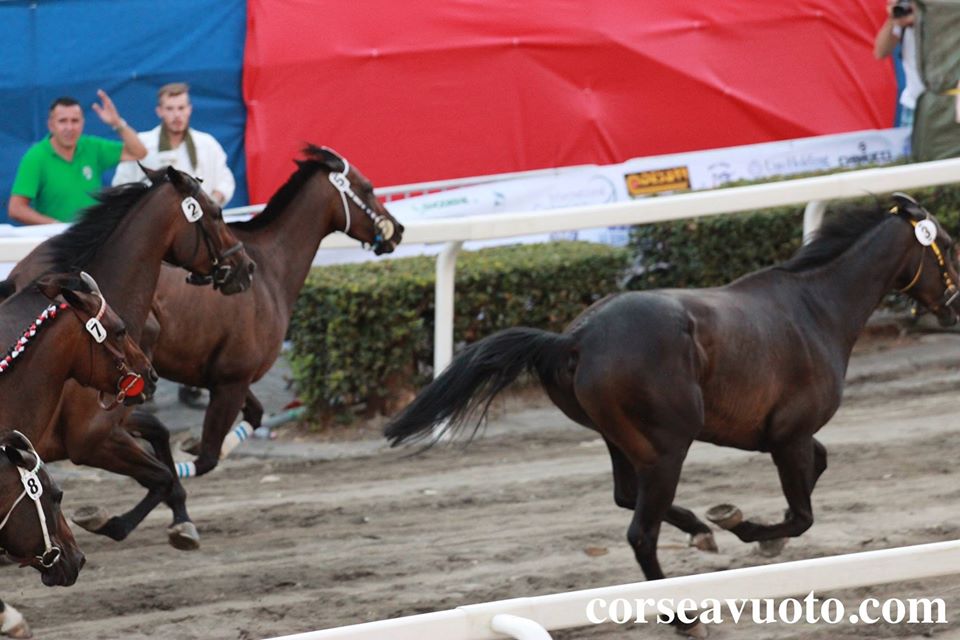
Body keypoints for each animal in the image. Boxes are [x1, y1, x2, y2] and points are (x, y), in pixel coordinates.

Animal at [0, 166, 255, 552]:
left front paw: (181, 518)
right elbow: (161, 476)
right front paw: (109, 521)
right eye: (216, 213)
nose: (245, 266)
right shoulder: (93, 440)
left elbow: (160, 436)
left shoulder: (119, 415)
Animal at [135, 145, 402, 478]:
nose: (398, 229)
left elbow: (256, 414)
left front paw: (193, 444)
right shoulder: (233, 379)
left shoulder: (220, 375)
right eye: (368, 188)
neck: (268, 266)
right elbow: (207, 458)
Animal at [384, 192, 960, 636]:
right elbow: (802, 512)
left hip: (622, 439)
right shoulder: (789, 434)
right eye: (950, 247)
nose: (955, 309)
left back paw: (698, 530)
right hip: (668, 445)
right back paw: (683, 615)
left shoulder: (784, 435)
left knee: (628, 495)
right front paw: (747, 527)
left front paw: (745, 530)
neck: (816, 308)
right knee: (640, 531)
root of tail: (574, 339)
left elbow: (818, 468)